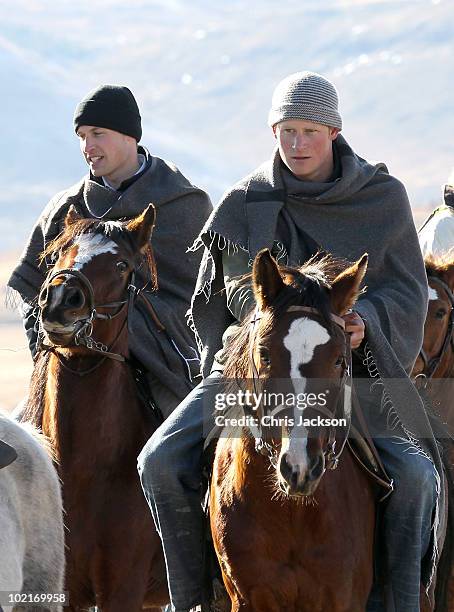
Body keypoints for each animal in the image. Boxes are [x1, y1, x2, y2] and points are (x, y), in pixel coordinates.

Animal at [22, 206, 168, 612]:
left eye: (121, 265)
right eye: (58, 253)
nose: (59, 300)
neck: (84, 468)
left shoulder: (123, 588)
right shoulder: (63, 590)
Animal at [211, 250, 374, 612]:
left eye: (339, 360)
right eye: (264, 355)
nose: (300, 466)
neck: (292, 512)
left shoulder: (341, 598)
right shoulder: (248, 597)